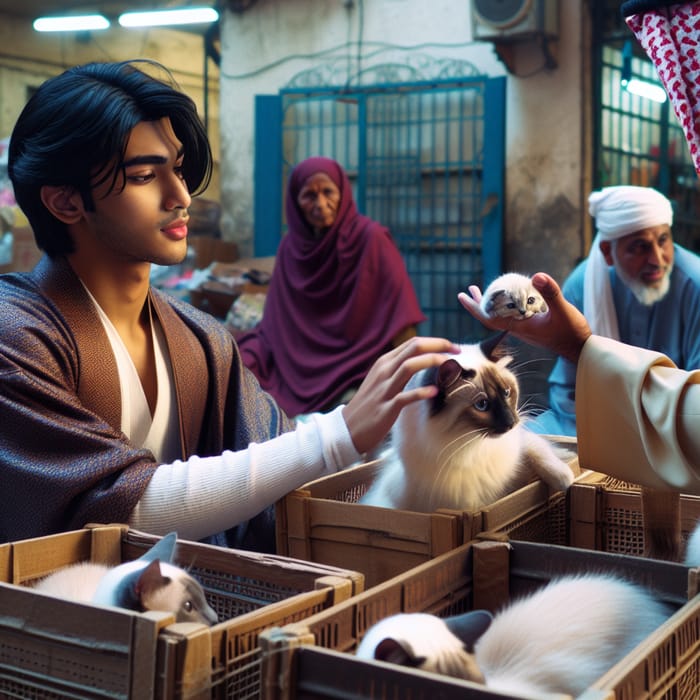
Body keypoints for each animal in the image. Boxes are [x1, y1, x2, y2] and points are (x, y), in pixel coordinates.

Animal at [360, 330, 576, 512]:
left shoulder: (520, 442)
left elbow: (539, 451)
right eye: (482, 405)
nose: (511, 422)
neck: (472, 446)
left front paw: (565, 478)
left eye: (506, 393)